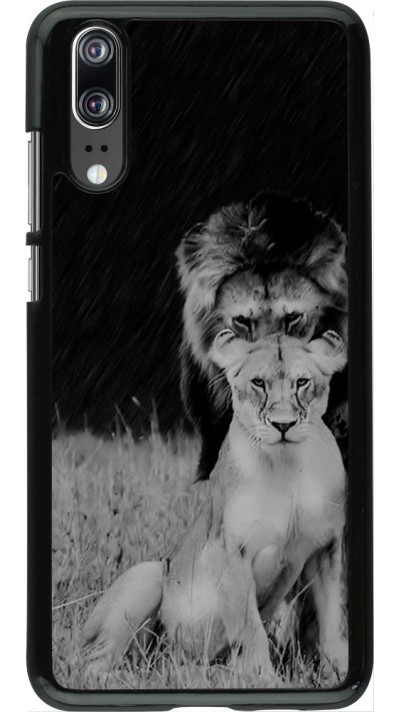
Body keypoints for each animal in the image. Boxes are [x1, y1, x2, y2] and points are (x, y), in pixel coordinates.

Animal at [82, 330, 348, 682]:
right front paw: (263, 679)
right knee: (94, 662)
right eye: (258, 382)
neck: (286, 464)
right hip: (148, 574)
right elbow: (250, 628)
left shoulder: (325, 549)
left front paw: (338, 673)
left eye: (302, 382)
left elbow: (333, 621)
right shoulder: (228, 550)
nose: (283, 425)